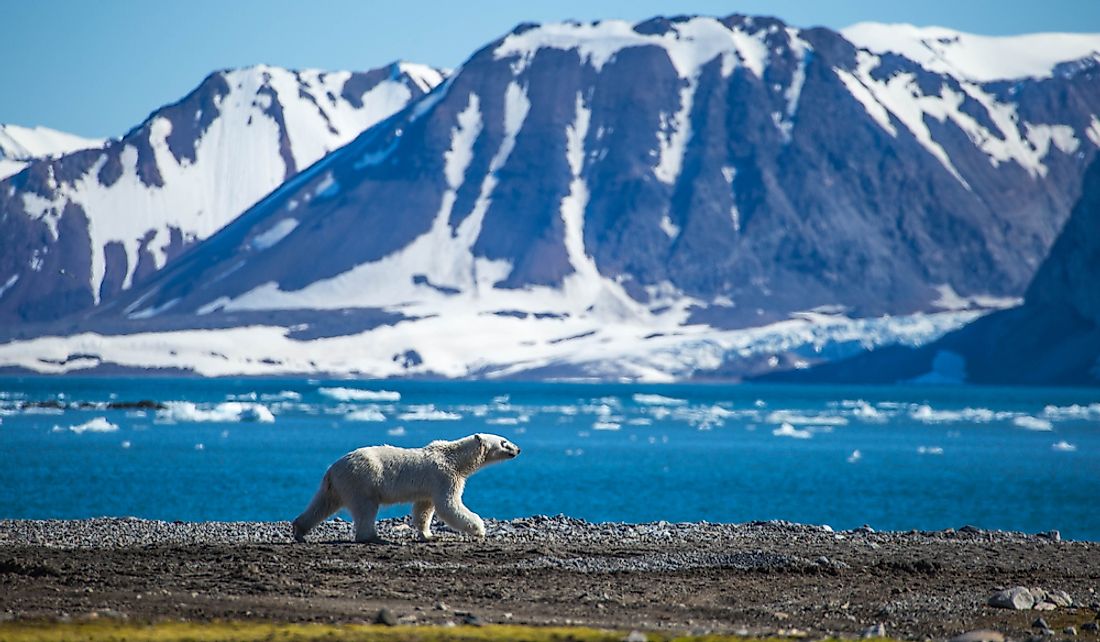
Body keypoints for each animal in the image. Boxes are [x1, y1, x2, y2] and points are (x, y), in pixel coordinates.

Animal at [290, 433, 517, 545]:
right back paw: (373, 537)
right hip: (362, 481)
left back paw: (300, 530)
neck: (454, 458)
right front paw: (480, 529)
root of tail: (332, 468)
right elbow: (449, 505)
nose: (518, 449)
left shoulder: (429, 487)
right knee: (365, 508)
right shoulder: (444, 477)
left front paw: (428, 535)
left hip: (337, 485)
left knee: (323, 504)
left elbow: (424, 509)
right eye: (504, 442)